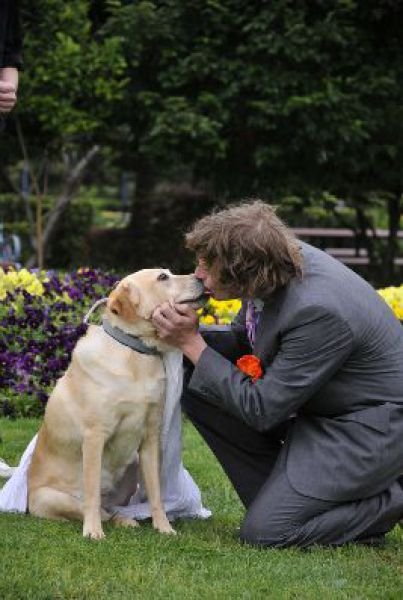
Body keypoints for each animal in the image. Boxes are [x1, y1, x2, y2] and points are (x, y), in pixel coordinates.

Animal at [27, 268, 205, 540]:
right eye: (163, 277)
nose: (202, 278)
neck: (136, 353)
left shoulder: (151, 437)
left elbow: (156, 493)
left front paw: (163, 527)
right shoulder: (94, 436)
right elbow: (91, 493)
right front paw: (92, 531)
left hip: (133, 464)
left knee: (111, 509)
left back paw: (126, 520)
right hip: (52, 497)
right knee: (96, 508)